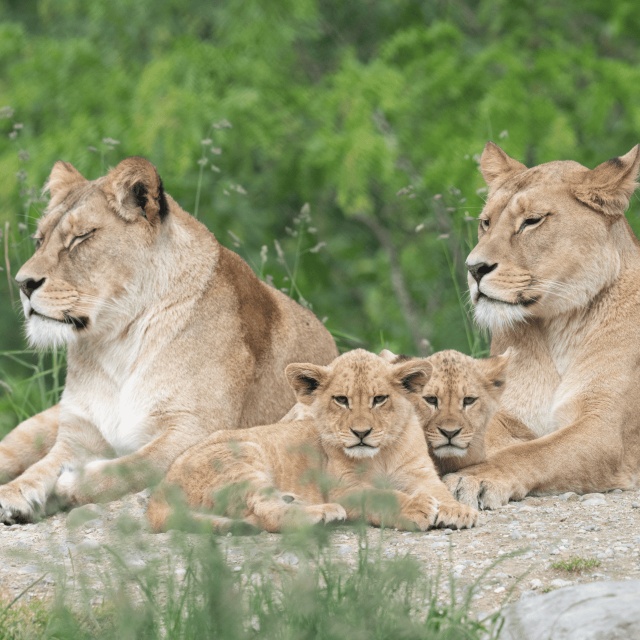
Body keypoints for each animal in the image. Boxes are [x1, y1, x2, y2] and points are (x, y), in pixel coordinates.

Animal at [0, 157, 338, 524]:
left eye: (81, 237)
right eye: (39, 240)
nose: (23, 283)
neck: (115, 343)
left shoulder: (198, 429)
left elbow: (135, 465)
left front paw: (72, 482)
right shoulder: (77, 436)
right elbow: (39, 469)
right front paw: (13, 494)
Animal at [147, 349, 478, 533]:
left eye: (379, 399)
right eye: (341, 400)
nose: (361, 433)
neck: (381, 454)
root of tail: (159, 492)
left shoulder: (419, 473)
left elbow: (440, 490)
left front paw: (457, 511)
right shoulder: (344, 488)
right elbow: (379, 495)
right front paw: (415, 508)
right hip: (243, 455)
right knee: (265, 514)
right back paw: (322, 514)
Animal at [443, 142, 640, 509]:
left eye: (531, 221)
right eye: (485, 223)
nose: (474, 269)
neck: (559, 324)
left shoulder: (604, 428)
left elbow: (533, 453)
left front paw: (473, 478)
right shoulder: (504, 411)